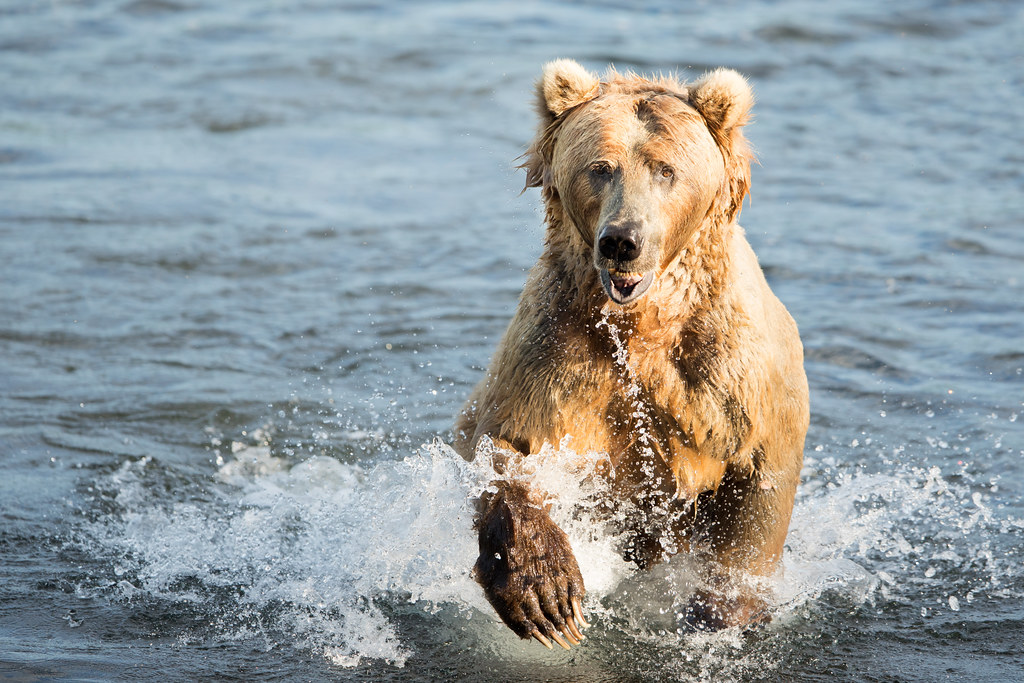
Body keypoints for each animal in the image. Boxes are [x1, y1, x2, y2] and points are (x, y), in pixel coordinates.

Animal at [454, 59, 809, 650]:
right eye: (600, 167)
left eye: (666, 170)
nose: (622, 240)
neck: (640, 325)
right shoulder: (557, 356)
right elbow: (508, 448)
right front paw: (548, 597)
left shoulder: (729, 382)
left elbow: (755, 500)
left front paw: (721, 612)